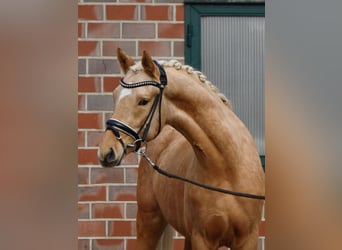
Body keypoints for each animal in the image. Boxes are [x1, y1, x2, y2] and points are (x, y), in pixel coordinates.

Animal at [97, 47, 266, 249]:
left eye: (143, 101)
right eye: (115, 95)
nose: (107, 151)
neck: (227, 168)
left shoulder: (248, 239)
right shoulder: (202, 238)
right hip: (149, 222)